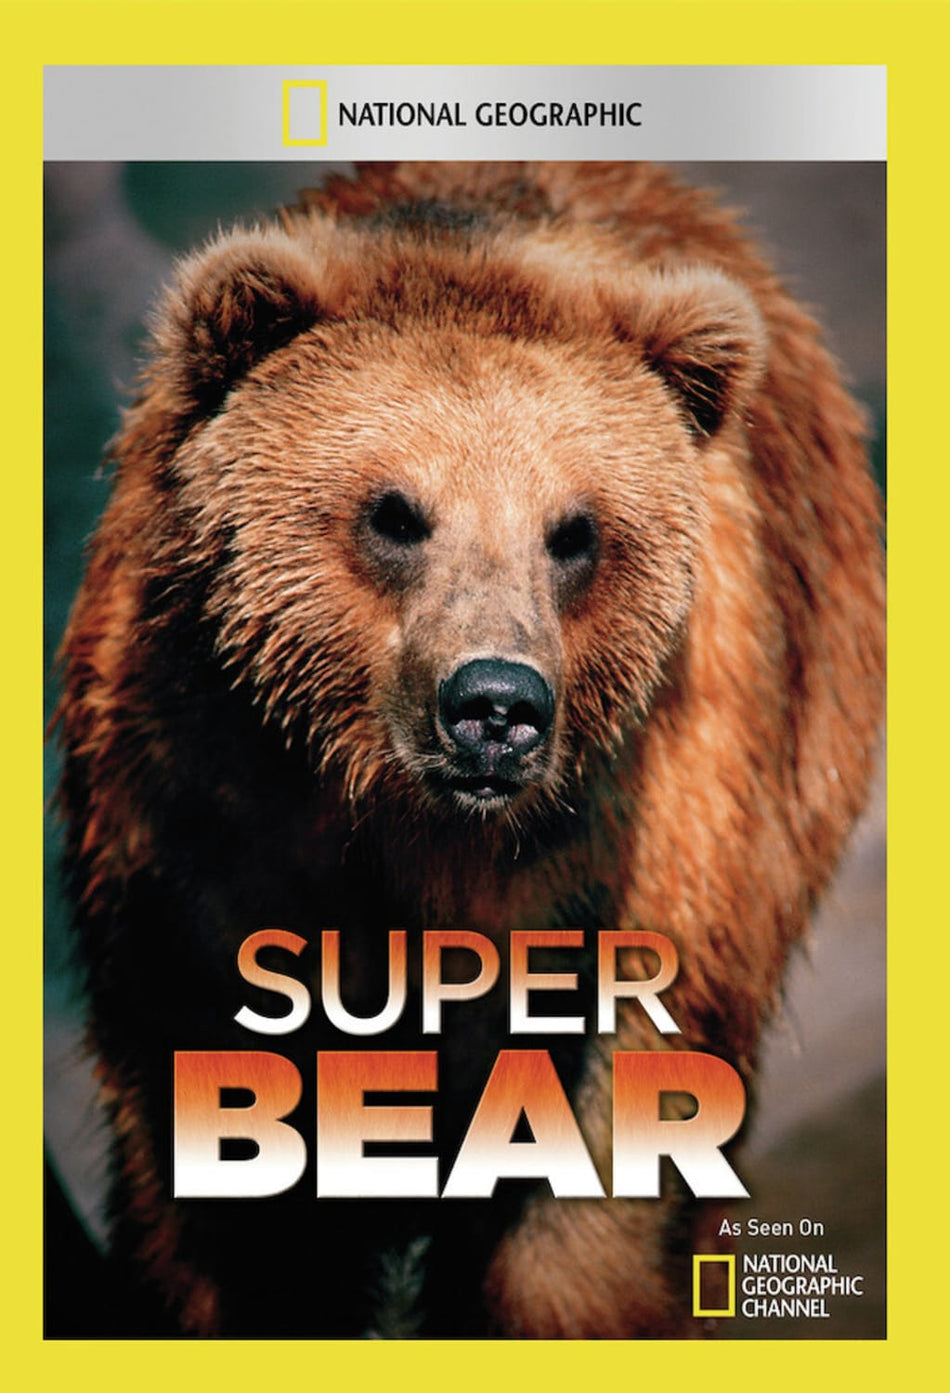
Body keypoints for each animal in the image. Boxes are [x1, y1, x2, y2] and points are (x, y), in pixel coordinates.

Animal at [54, 161, 885, 1339]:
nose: (495, 705)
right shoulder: (197, 821)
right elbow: (232, 1201)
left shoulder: (641, 849)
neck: (410, 827)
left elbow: (585, 1203)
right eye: (396, 512)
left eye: (575, 529)